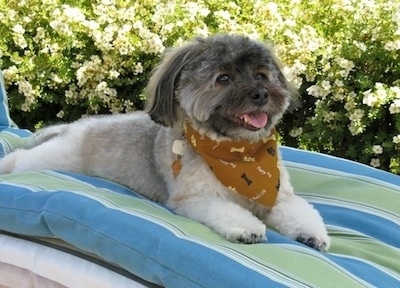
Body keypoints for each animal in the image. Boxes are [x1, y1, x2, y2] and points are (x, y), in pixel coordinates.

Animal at [0, 33, 332, 250]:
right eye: (223, 79)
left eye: (262, 75)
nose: (261, 93)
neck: (237, 153)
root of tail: (75, 126)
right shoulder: (194, 198)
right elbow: (227, 211)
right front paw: (248, 228)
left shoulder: (278, 195)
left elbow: (299, 211)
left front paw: (313, 234)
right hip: (56, 157)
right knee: (18, 160)